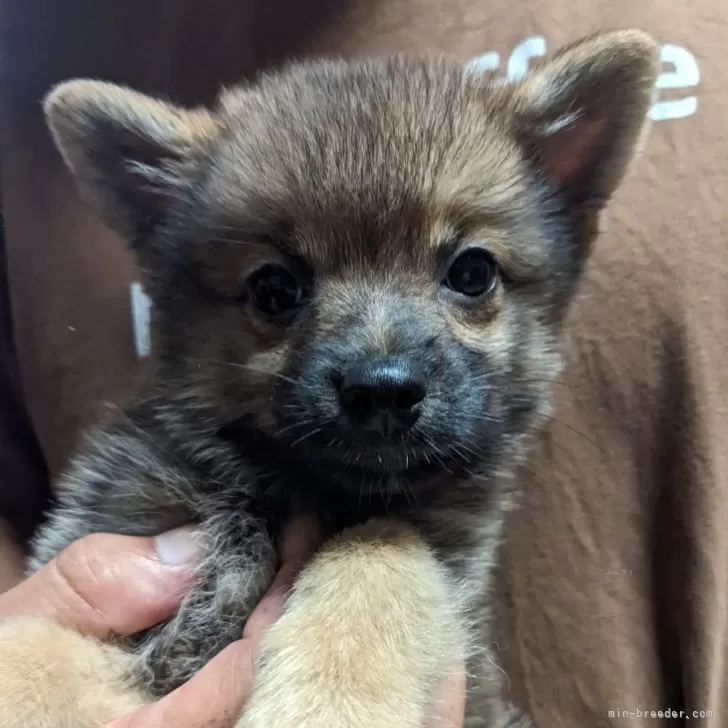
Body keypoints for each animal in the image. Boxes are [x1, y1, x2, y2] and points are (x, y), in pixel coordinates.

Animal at [0, 29, 660, 728]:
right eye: (274, 289)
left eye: (472, 273)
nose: (384, 389)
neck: (292, 490)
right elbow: (37, 647)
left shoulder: (437, 549)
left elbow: (379, 551)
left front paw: (329, 699)